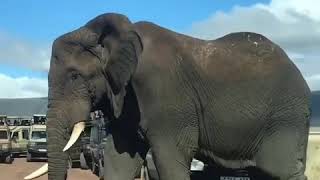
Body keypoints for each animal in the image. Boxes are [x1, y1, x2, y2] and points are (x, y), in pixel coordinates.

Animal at [25, 13, 312, 180]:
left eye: (75, 76)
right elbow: (120, 160)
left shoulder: (166, 96)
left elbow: (170, 159)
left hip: (287, 113)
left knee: (280, 168)